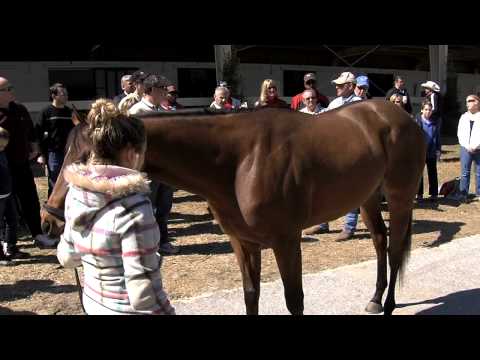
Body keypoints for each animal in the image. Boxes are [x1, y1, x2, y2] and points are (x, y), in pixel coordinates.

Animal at [40, 100, 424, 316]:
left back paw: (389, 305)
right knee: (379, 242)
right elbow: (251, 296)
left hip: (400, 195)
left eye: (84, 157)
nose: (50, 219)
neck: (240, 160)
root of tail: (398, 114)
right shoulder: (243, 243)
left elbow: (294, 300)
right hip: (368, 197)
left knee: (393, 249)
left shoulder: (286, 241)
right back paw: (375, 299)